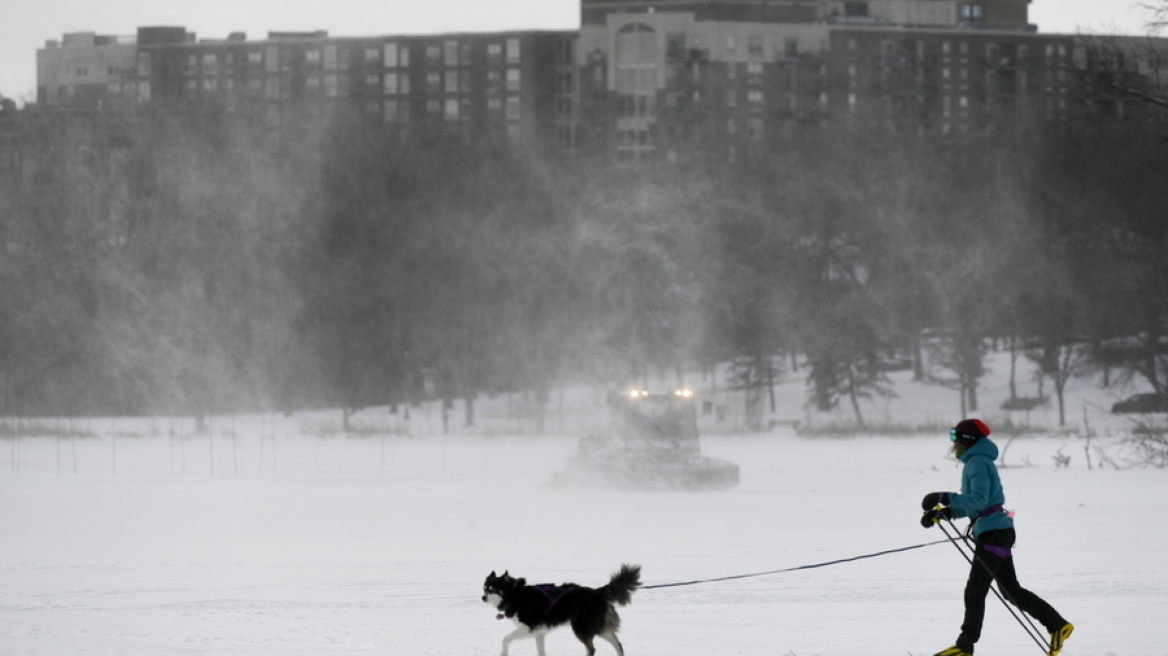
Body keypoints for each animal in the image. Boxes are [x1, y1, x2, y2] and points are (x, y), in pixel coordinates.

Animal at [483, 562, 649, 653]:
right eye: (485, 588)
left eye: (492, 589)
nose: (482, 598)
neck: (515, 594)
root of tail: (596, 592)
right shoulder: (539, 632)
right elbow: (541, 651)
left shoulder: (528, 628)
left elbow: (505, 639)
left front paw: (503, 653)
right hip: (597, 626)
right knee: (617, 644)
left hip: (581, 627)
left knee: (591, 648)